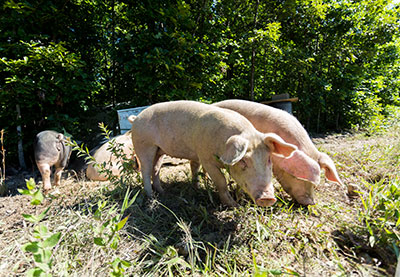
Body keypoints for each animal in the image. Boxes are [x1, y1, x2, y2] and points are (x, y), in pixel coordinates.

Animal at [128, 100, 296, 206]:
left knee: (156, 169)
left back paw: (163, 193)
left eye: (268, 159)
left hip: (159, 150)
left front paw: (239, 200)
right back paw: (151, 197)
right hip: (144, 144)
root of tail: (136, 118)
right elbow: (221, 181)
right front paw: (233, 205)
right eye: (243, 161)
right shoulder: (206, 158)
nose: (268, 198)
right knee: (145, 170)